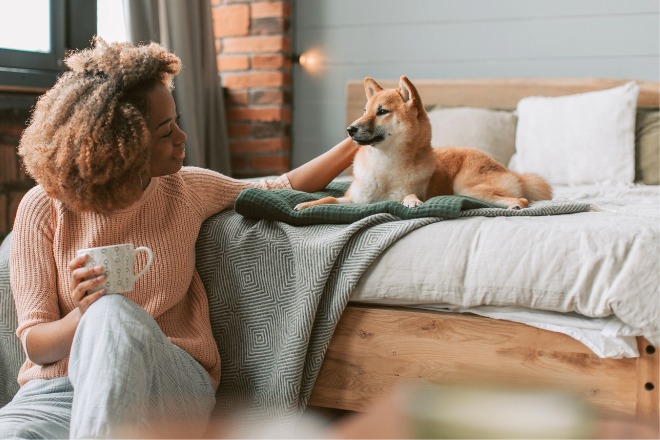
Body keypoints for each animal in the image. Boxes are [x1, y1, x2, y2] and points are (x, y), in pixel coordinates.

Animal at [294, 75, 552, 210]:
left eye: (382, 112)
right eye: (364, 111)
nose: (350, 129)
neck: (384, 166)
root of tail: (511, 171)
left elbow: (408, 196)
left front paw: (412, 202)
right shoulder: (352, 200)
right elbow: (328, 199)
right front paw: (306, 205)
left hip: (466, 186)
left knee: (522, 199)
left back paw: (513, 205)